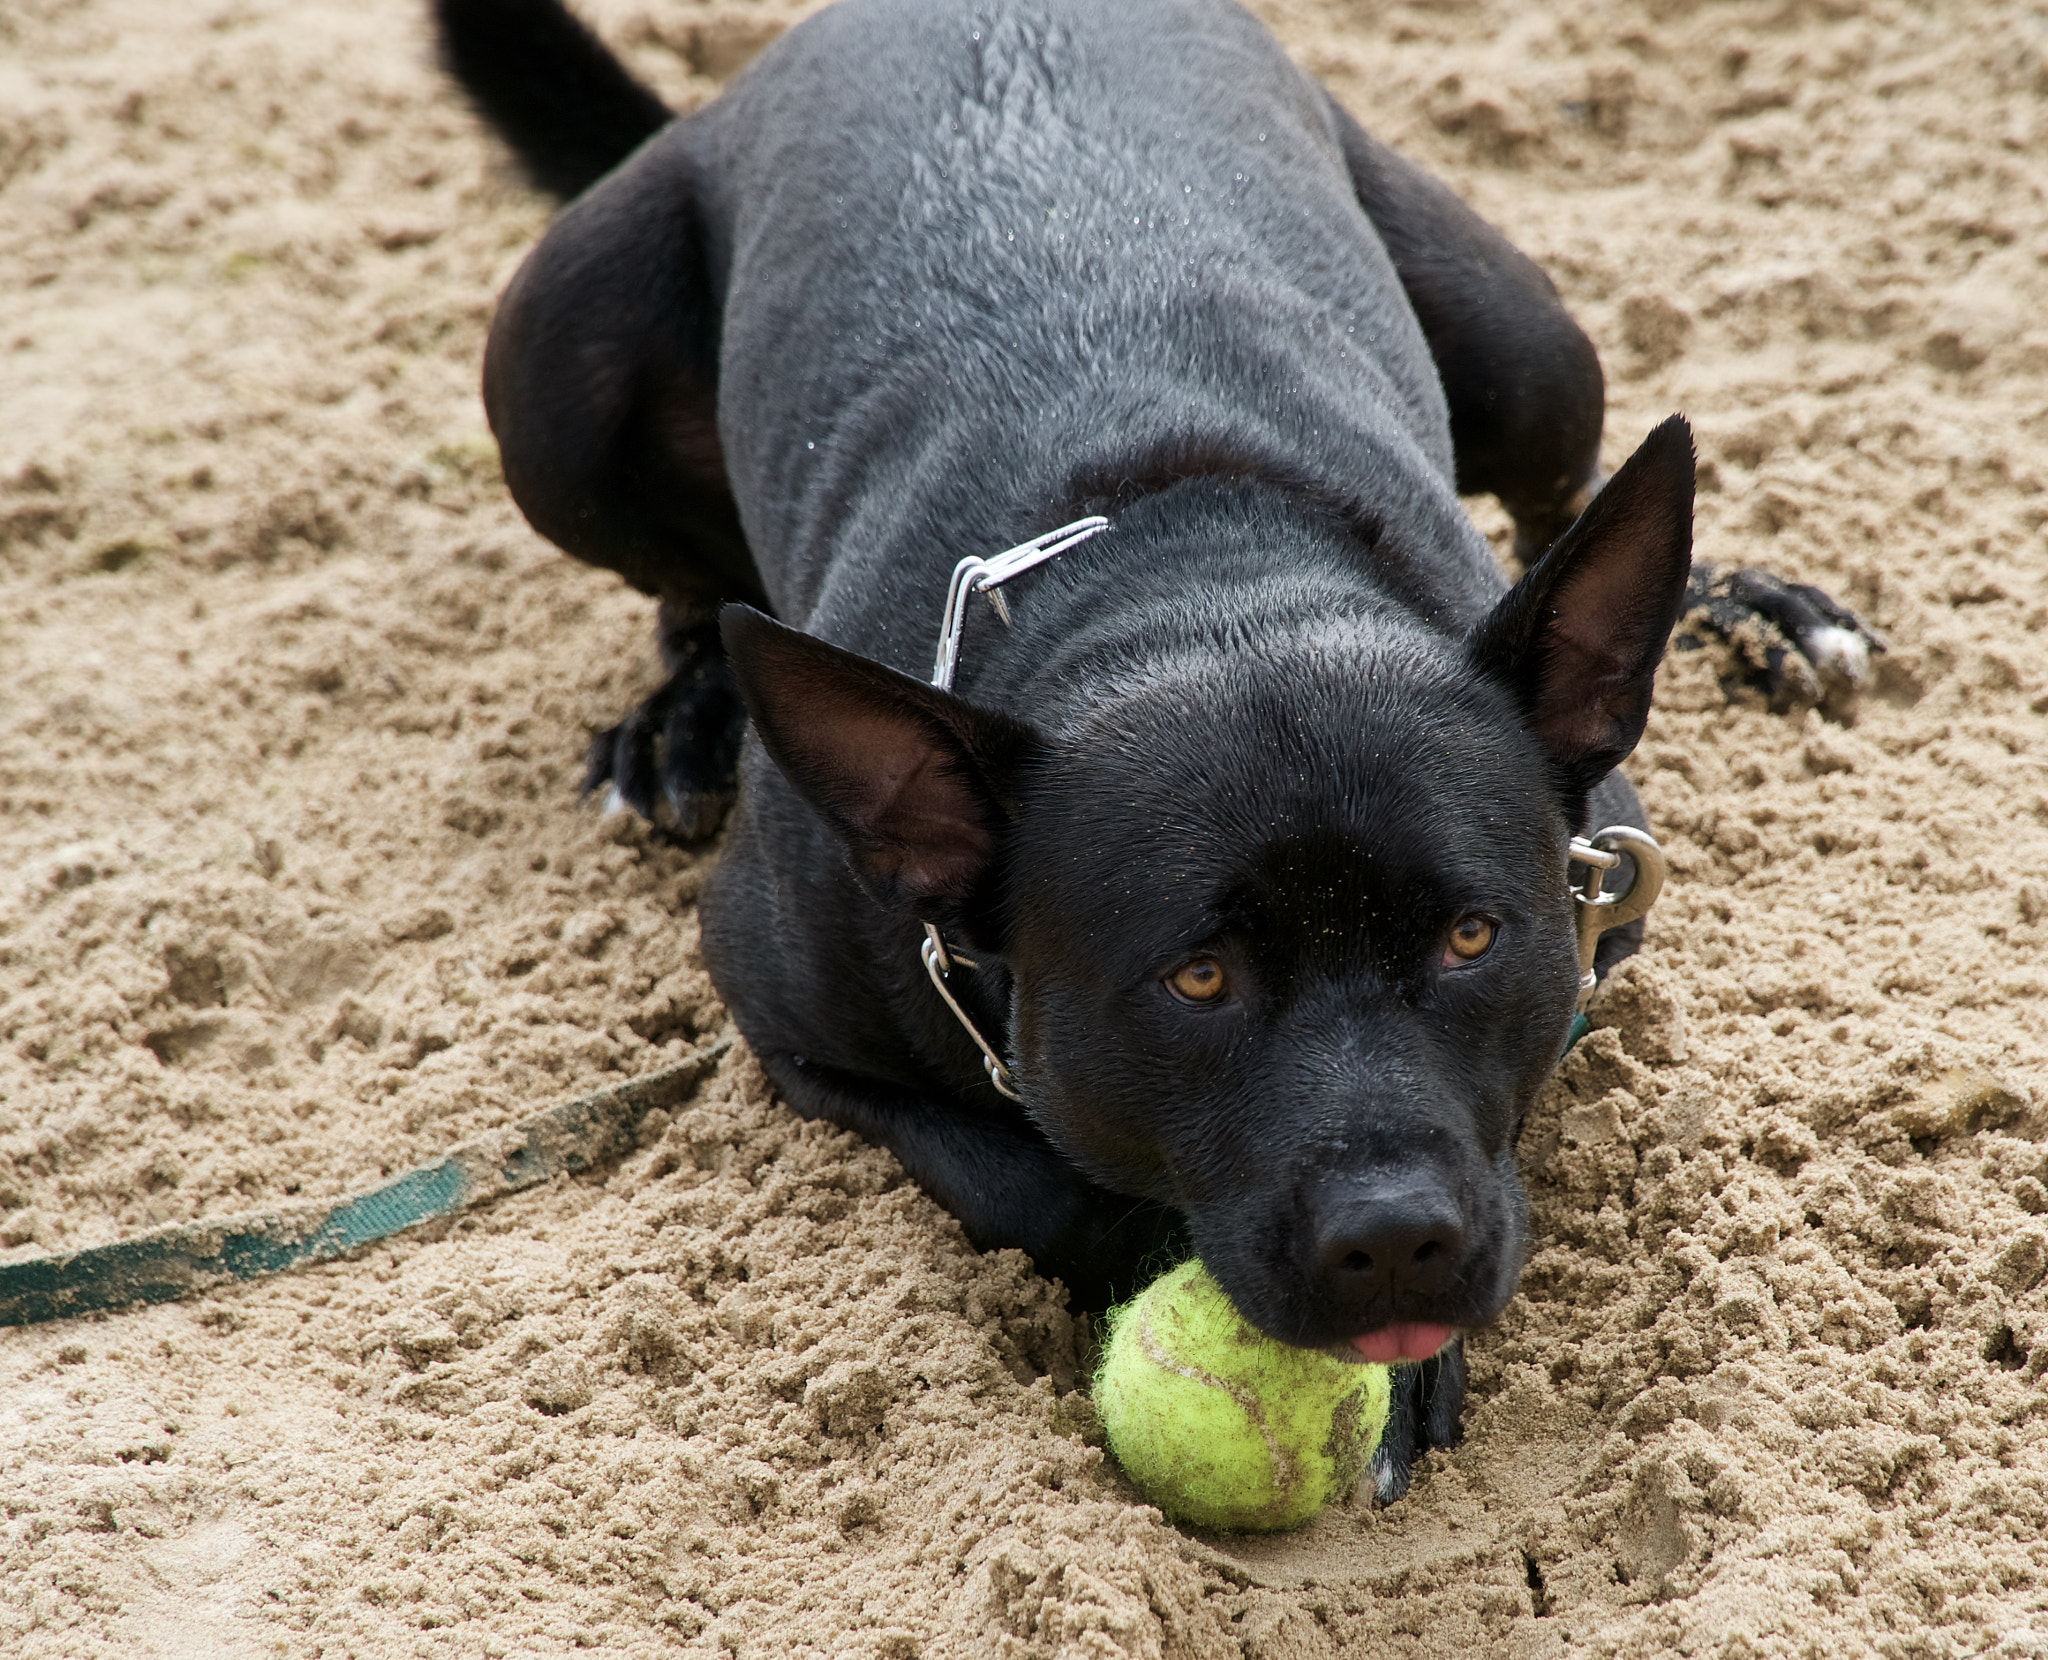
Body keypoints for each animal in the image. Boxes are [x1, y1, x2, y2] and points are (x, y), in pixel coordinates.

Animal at [440, 0, 1875, 1498]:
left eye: (1472, 939)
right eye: (1196, 981)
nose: (1395, 1239)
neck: (1193, 581)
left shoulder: (1597, 907)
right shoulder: (790, 1020)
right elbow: (1041, 1185)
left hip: (1523, 346)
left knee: (1565, 483)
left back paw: (1746, 609)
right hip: (553, 370)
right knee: (678, 575)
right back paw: (682, 713)